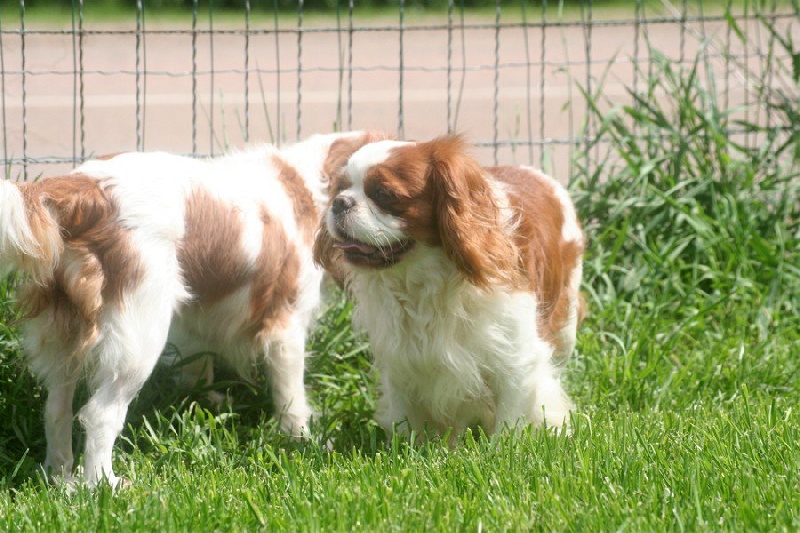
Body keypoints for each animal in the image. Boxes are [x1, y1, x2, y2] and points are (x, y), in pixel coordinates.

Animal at [0, 130, 384, 486]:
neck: (305, 183)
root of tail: (86, 189)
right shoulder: (285, 324)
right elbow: (291, 395)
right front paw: (302, 440)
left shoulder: (196, 319)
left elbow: (198, 369)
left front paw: (207, 402)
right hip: (137, 336)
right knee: (99, 414)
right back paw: (103, 485)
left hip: (62, 332)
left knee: (56, 408)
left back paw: (59, 476)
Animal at [316, 134, 584, 440]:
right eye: (340, 188)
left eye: (384, 194)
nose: (340, 202)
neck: (422, 281)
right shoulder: (400, 363)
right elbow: (407, 423)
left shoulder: (516, 359)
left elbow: (509, 424)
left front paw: (506, 448)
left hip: (565, 326)